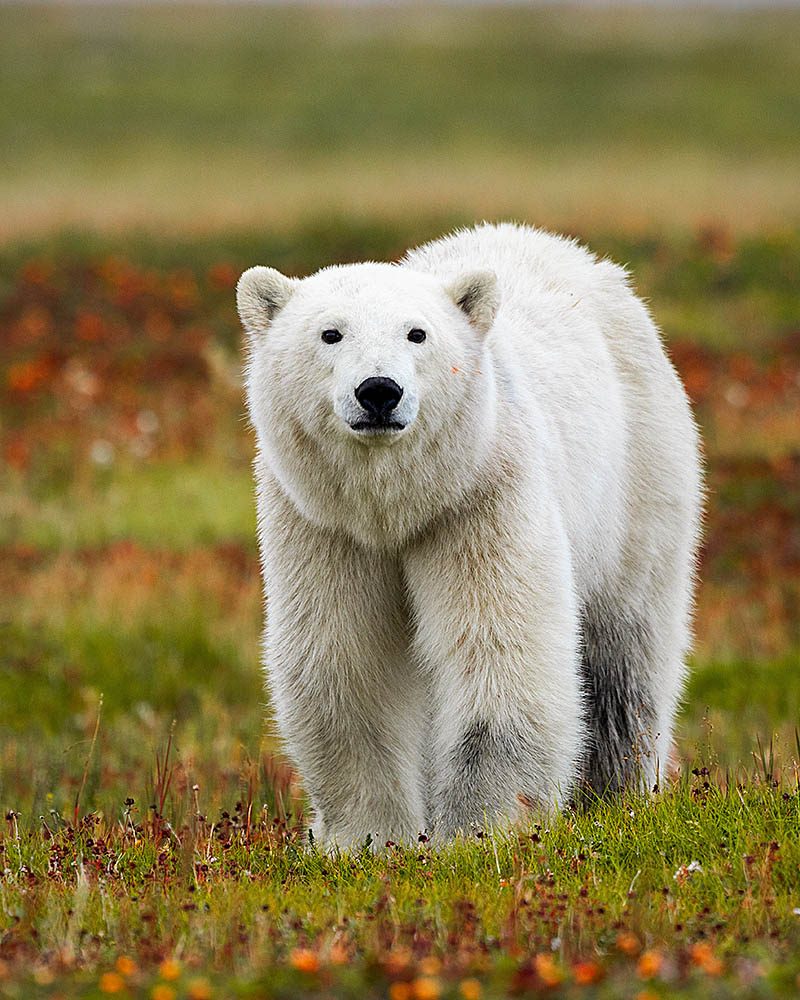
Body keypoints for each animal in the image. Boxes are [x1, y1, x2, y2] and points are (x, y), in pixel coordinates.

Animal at [238, 225, 700, 844]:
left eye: (417, 333)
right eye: (330, 333)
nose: (378, 390)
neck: (396, 507)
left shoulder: (480, 498)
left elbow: (501, 648)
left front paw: (479, 831)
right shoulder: (322, 523)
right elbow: (343, 662)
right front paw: (368, 839)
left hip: (640, 477)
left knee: (624, 651)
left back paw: (619, 793)